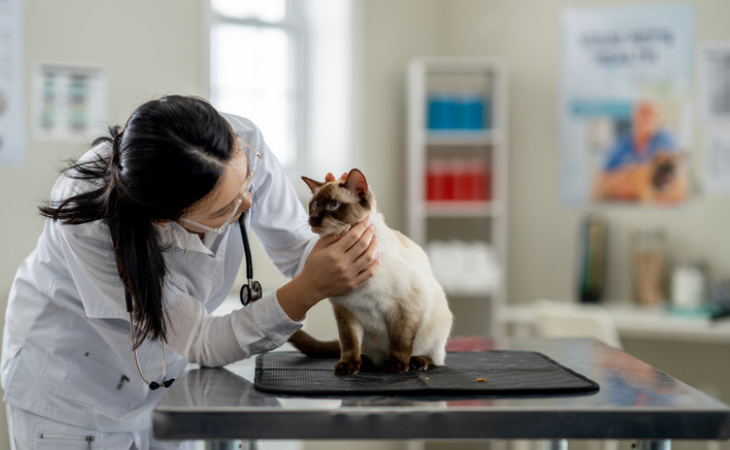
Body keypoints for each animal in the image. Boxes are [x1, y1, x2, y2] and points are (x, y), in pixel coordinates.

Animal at [288, 167, 452, 374]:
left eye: (334, 205)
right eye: (315, 204)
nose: (313, 218)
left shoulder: (405, 307)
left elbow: (401, 341)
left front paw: (397, 365)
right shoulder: (345, 311)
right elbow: (349, 343)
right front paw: (348, 366)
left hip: (434, 333)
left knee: (435, 358)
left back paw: (416, 362)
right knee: (364, 353)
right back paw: (365, 362)